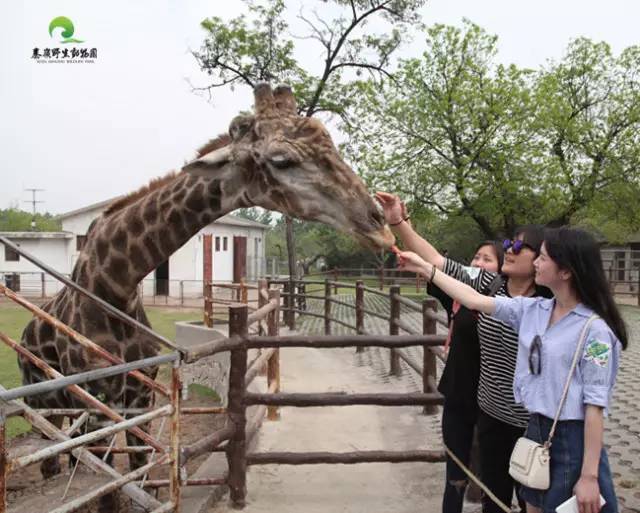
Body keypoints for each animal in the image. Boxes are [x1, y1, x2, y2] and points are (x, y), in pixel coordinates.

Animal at [17, 84, 392, 508]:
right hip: (44, 406)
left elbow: (138, 476)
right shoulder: (100, 404)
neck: (114, 285)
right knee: (53, 460)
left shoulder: (141, 398)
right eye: (281, 160)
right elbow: (110, 492)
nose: (379, 223)